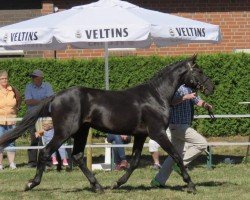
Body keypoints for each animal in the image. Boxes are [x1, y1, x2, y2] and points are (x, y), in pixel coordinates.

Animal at [0, 54, 215, 194]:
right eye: (199, 70)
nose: (211, 87)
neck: (156, 96)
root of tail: (56, 97)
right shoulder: (158, 133)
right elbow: (177, 155)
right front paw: (191, 186)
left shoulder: (140, 135)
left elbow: (134, 161)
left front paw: (117, 184)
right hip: (64, 132)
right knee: (45, 152)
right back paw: (31, 184)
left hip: (81, 131)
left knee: (77, 156)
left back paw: (98, 187)